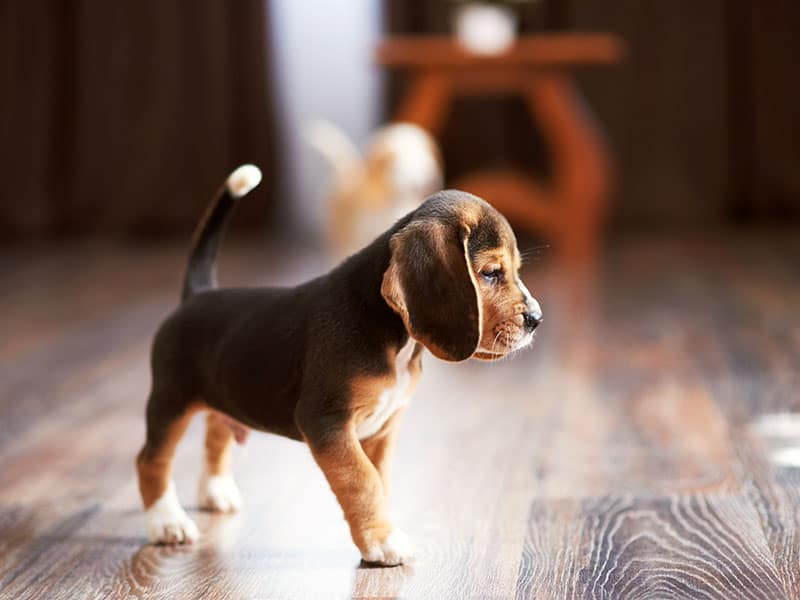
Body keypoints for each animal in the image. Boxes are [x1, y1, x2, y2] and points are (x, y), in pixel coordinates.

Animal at [136, 163, 544, 564]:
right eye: (490, 273)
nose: (536, 319)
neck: (395, 337)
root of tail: (197, 294)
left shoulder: (384, 429)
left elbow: (380, 481)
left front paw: (382, 530)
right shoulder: (327, 422)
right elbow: (362, 481)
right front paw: (382, 542)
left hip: (223, 393)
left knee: (216, 432)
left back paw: (216, 491)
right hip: (170, 403)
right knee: (151, 460)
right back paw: (166, 522)